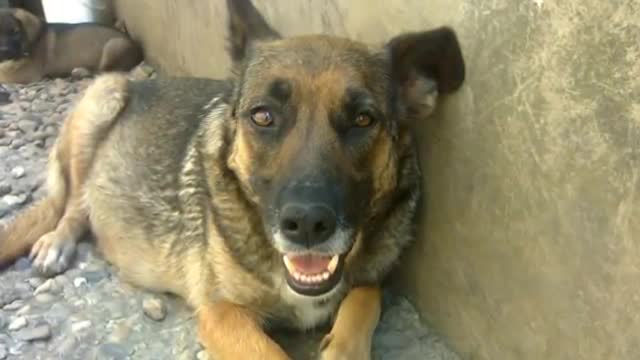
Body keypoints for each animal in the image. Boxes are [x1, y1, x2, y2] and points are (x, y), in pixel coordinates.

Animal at [0, 8, 142, 84]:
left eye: (16, 32)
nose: (4, 51)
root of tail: (137, 49)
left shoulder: (25, 72)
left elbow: (2, 75)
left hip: (113, 46)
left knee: (105, 72)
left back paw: (81, 72)